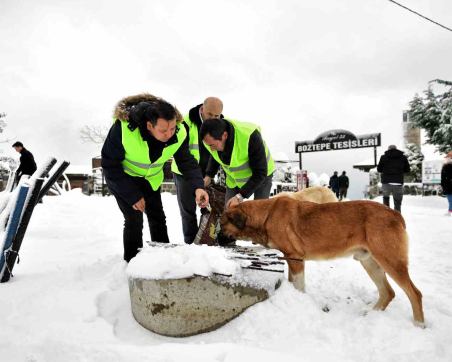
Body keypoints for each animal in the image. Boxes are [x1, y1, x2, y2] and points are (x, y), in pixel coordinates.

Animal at [221, 197, 426, 326]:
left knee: (414, 293)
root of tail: (395, 214)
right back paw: (371, 314)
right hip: (370, 262)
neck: (266, 215)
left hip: (390, 261)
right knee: (388, 292)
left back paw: (419, 324)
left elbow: (299, 286)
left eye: (222, 225)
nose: (217, 239)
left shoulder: (296, 258)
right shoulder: (290, 259)